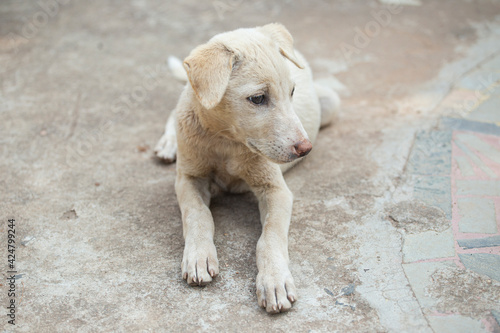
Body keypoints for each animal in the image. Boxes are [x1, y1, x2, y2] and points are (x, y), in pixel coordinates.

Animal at [154, 22, 338, 312]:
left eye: (292, 92)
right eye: (258, 98)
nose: (305, 149)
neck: (226, 140)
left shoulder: (276, 190)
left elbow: (270, 236)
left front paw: (274, 280)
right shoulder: (188, 178)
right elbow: (197, 215)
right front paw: (198, 255)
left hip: (329, 104)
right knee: (175, 110)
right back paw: (169, 143)